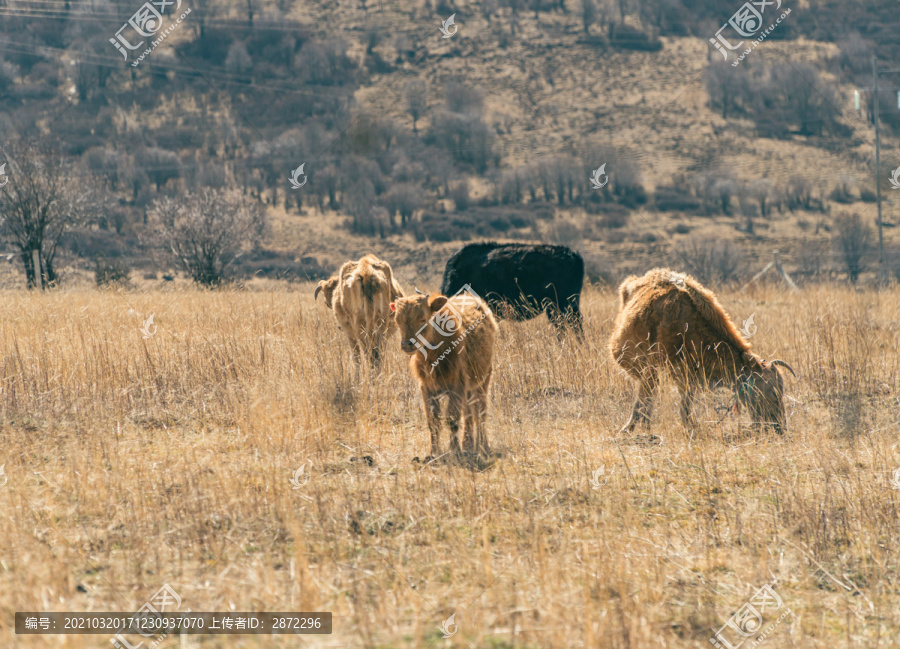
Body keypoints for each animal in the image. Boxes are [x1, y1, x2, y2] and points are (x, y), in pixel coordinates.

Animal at [390, 286, 500, 458]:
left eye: (422, 319)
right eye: (398, 320)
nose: (407, 344)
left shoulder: (456, 387)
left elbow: (452, 420)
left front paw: (455, 450)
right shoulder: (426, 388)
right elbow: (433, 421)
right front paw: (434, 452)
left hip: (483, 380)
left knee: (480, 413)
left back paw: (483, 446)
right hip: (469, 388)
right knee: (469, 414)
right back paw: (468, 444)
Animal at [612, 268, 796, 436]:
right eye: (772, 393)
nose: (779, 426)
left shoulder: (689, 378)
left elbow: (684, 407)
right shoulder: (660, 370)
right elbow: (652, 401)